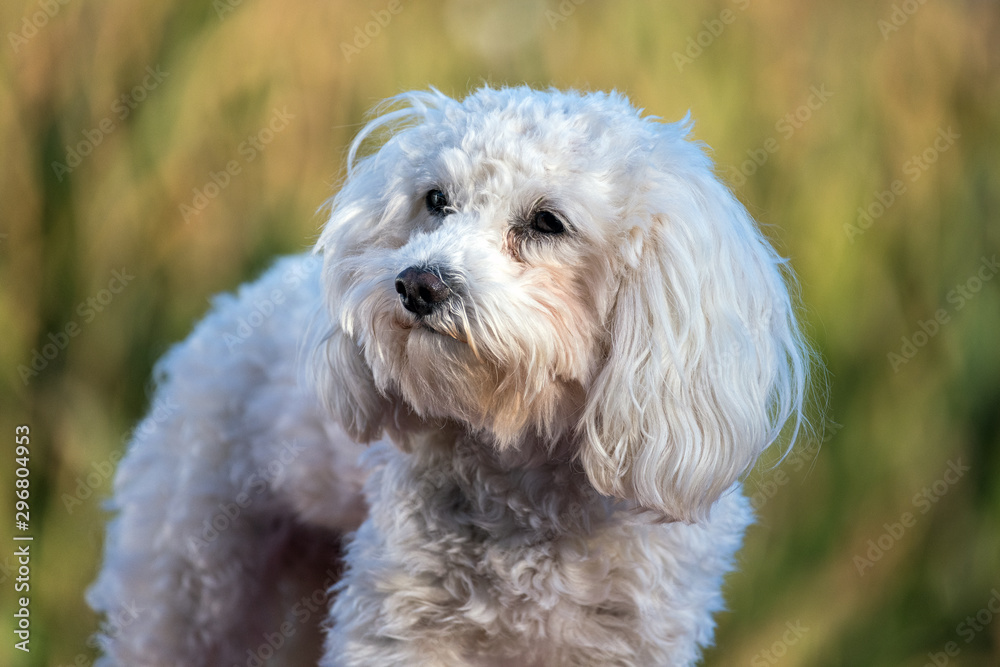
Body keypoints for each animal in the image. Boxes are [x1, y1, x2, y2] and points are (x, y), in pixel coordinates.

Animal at [90, 87, 812, 667]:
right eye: (435, 200)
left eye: (548, 222)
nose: (417, 283)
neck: (529, 464)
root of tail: (228, 305)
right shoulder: (399, 630)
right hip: (188, 589)